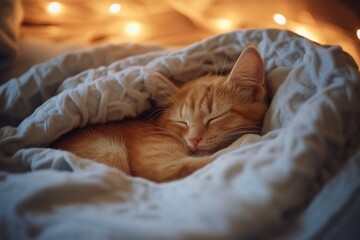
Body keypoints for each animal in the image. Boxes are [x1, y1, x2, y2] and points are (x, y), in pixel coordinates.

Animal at [53, 47, 268, 182]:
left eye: (215, 117)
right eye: (182, 122)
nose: (194, 139)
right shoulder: (164, 167)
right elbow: (212, 159)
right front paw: (248, 140)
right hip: (109, 151)